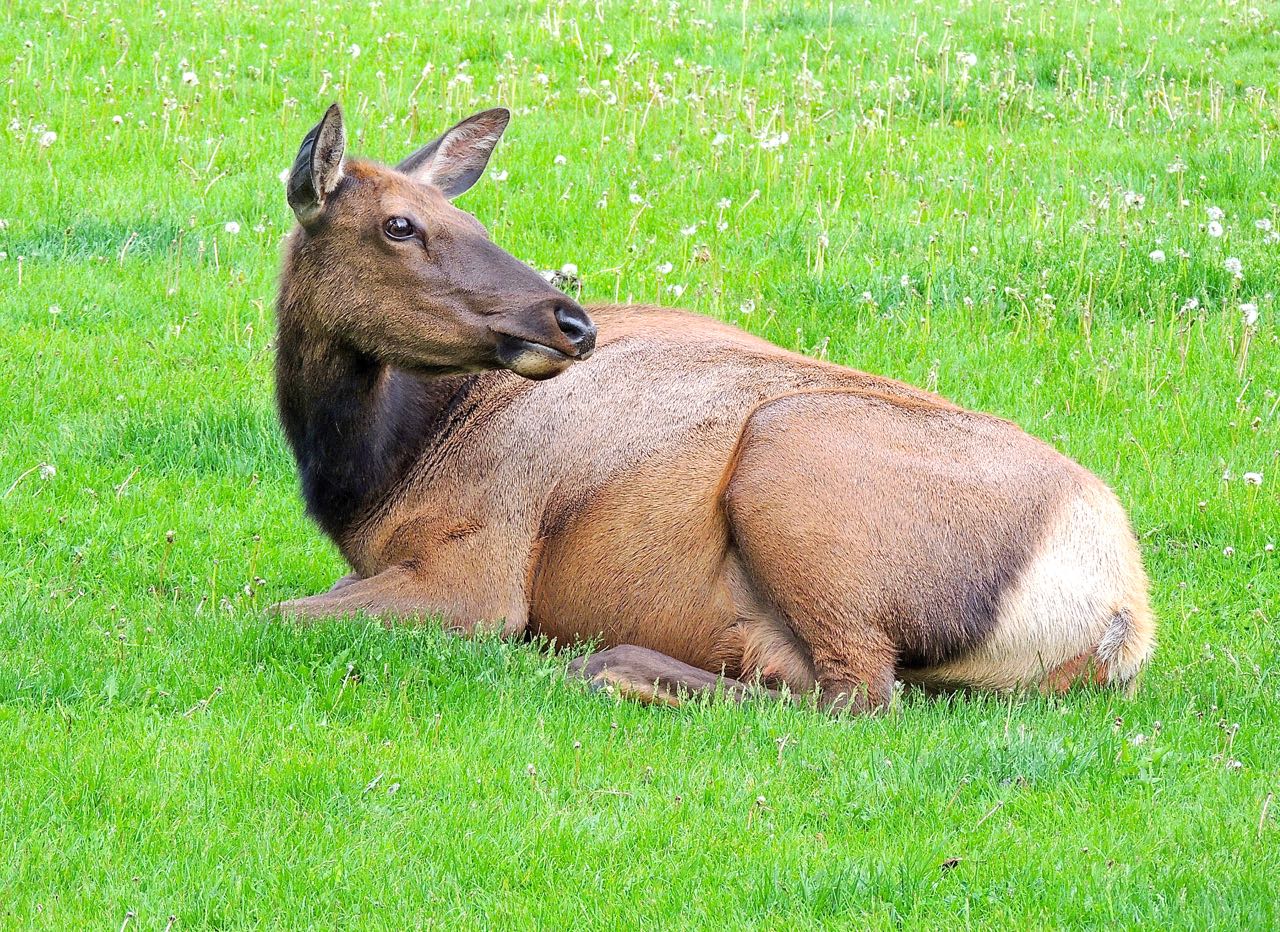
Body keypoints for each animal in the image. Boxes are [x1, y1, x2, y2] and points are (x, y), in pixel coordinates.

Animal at [275, 101, 1157, 711]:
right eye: (400, 224)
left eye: (463, 217)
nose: (569, 322)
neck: (373, 477)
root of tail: (1122, 616)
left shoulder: (478, 569)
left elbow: (278, 609)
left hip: (792, 460)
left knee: (860, 692)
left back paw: (607, 663)